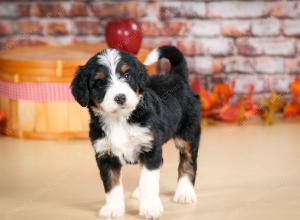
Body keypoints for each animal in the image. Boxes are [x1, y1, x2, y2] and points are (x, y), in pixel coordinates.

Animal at [71, 45, 200, 218]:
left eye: (127, 75)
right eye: (100, 82)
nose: (120, 97)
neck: (120, 120)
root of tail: (177, 76)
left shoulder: (150, 148)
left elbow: (149, 181)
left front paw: (150, 207)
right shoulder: (105, 154)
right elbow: (112, 185)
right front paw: (113, 209)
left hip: (188, 134)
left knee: (188, 162)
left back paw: (185, 193)